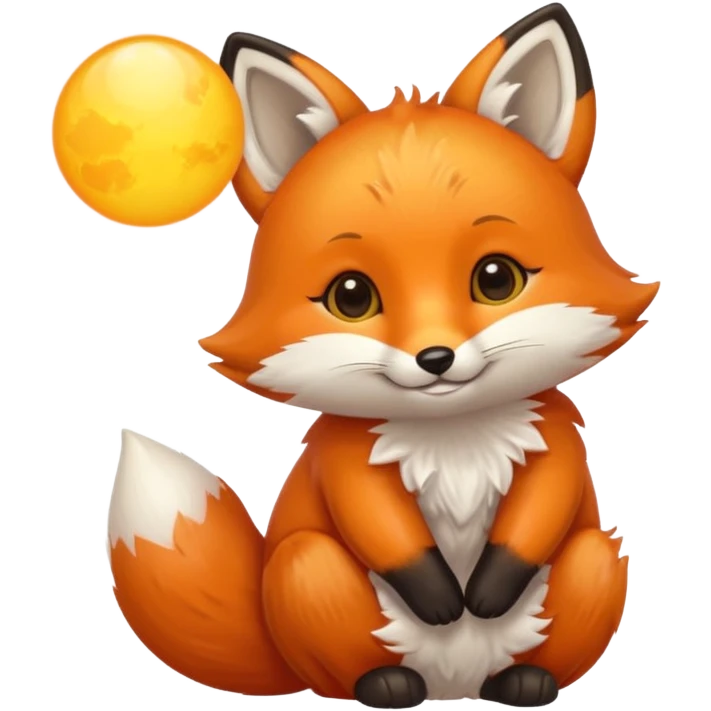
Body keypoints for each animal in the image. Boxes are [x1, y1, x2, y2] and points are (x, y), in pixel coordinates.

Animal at [107, 4, 660, 709]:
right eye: (351, 296)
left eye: (497, 279)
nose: (435, 358)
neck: (453, 440)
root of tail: (455, 687)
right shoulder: (347, 459)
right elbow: (383, 529)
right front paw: (442, 600)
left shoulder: (552, 438)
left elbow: (543, 505)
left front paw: (485, 593)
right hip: (306, 569)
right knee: (349, 662)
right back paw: (388, 683)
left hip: (595, 561)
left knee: (557, 612)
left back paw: (524, 681)